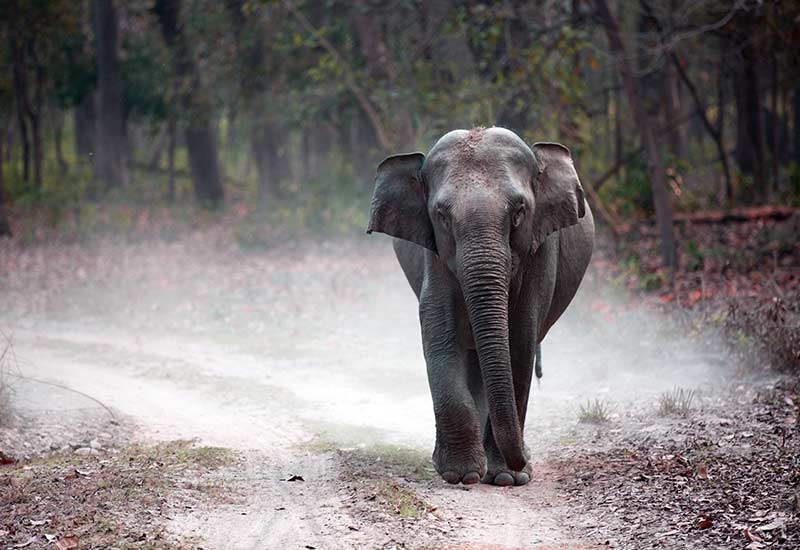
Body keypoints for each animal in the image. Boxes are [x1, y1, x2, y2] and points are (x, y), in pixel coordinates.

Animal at [368, 126, 592, 488]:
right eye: (441, 216)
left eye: (519, 212)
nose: (523, 460)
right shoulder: (434, 255)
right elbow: (440, 334)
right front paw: (462, 475)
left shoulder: (540, 251)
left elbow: (519, 341)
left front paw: (506, 478)